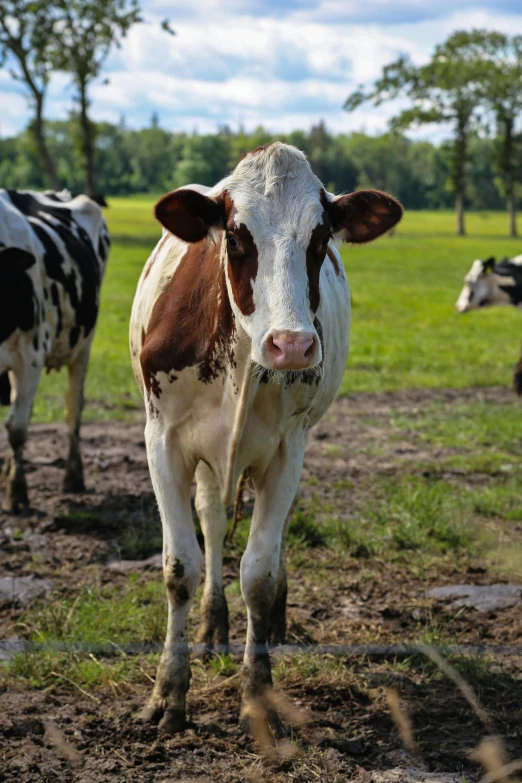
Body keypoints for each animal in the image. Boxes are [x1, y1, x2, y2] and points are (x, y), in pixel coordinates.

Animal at [0, 187, 109, 512]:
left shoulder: (30, 357)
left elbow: (17, 428)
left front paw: (18, 493)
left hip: (84, 345)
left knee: (73, 409)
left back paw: (74, 478)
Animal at [130, 144, 402, 740]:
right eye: (236, 236)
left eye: (321, 239)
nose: (292, 345)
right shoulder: (162, 440)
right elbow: (180, 566)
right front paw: (168, 694)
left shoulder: (286, 450)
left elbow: (258, 571)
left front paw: (257, 696)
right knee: (211, 518)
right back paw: (212, 626)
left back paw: (271, 620)